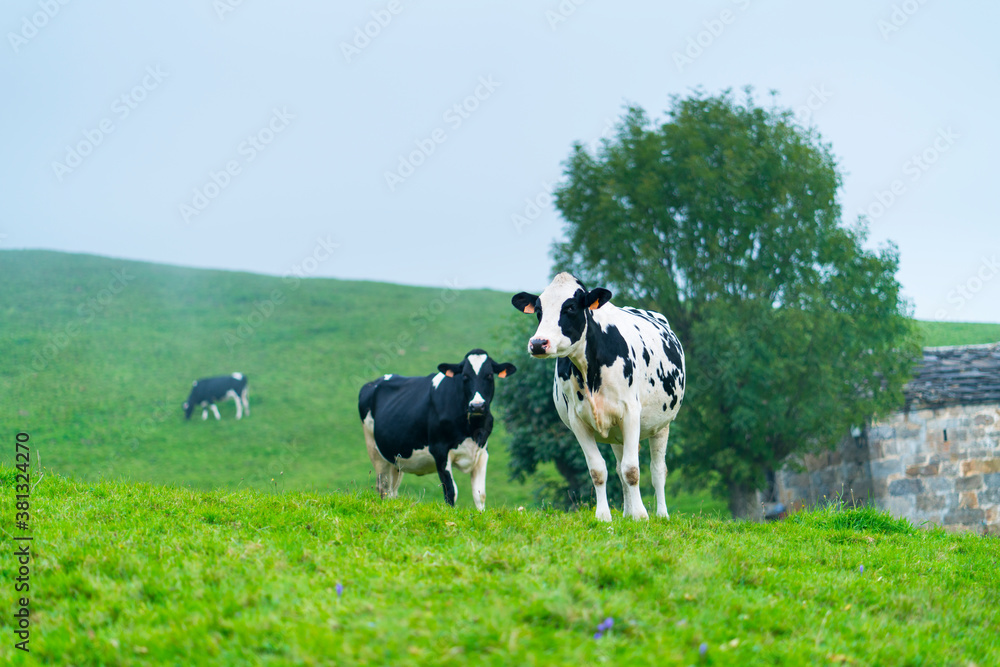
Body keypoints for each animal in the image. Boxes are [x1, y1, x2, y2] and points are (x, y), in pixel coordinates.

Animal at [358, 350, 516, 512]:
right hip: (375, 451)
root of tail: (374, 382)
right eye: (465, 376)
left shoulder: (482, 451)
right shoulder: (439, 450)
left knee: (392, 490)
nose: (477, 406)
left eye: (489, 375)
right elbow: (451, 491)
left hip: (396, 460)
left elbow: (480, 494)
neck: (471, 429)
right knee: (383, 487)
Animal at [512, 274, 684, 524]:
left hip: (662, 425)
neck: (589, 368)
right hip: (617, 434)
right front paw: (604, 515)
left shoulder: (631, 413)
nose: (538, 343)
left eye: (570, 307)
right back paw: (626, 512)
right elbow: (599, 470)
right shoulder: (578, 421)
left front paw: (641, 515)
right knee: (619, 468)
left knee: (657, 469)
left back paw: (661, 514)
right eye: (538, 310)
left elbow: (632, 469)